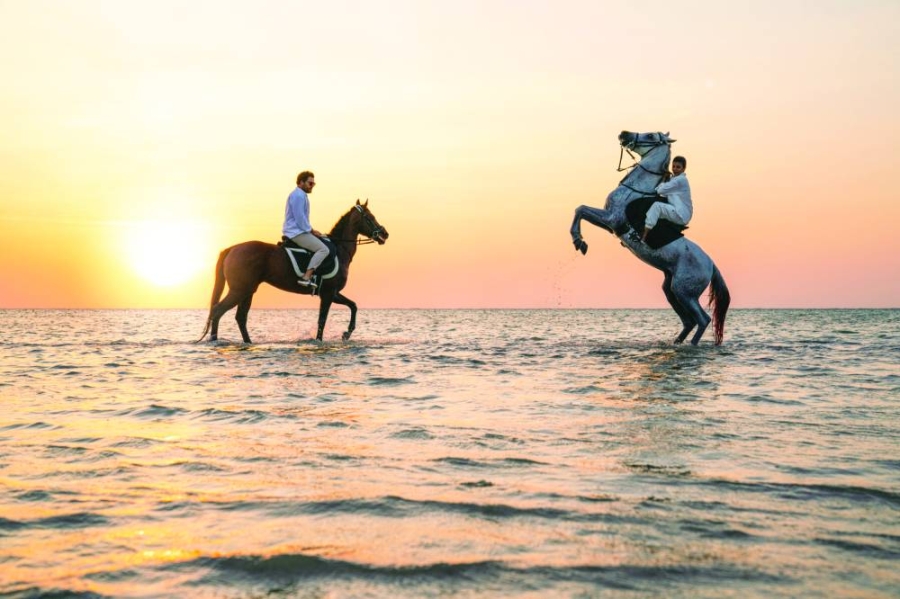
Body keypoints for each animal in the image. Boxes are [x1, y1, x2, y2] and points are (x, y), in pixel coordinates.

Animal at [196, 199, 389, 343]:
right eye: (370, 217)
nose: (384, 234)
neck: (339, 249)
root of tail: (232, 248)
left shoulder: (332, 293)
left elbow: (353, 306)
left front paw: (347, 333)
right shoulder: (328, 293)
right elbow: (322, 320)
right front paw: (322, 341)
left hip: (247, 291)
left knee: (240, 317)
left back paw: (247, 342)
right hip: (239, 290)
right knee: (218, 310)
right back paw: (215, 341)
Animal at [570, 131, 731, 345]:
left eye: (651, 135)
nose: (623, 134)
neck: (634, 190)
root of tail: (712, 265)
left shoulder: (612, 219)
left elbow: (580, 209)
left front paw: (579, 241)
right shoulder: (609, 224)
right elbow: (580, 210)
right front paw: (579, 241)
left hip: (684, 291)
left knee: (702, 319)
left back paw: (692, 345)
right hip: (671, 289)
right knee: (689, 321)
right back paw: (676, 343)